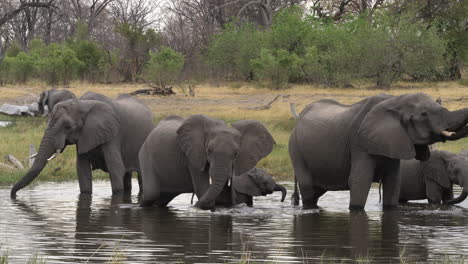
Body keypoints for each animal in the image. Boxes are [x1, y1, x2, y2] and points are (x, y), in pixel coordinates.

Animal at [11, 92, 154, 197]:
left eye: (68, 127)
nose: (13, 196)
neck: (82, 104)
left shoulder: (113, 134)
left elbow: (116, 169)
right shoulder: (83, 137)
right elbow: (82, 169)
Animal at [141, 114, 276, 209]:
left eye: (236, 154)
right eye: (209, 151)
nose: (193, 205)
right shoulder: (193, 156)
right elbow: (203, 189)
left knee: (164, 197)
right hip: (145, 155)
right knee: (151, 194)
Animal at [288, 93, 468, 210]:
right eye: (424, 114)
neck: (394, 101)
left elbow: (393, 182)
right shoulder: (359, 142)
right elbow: (359, 181)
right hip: (295, 149)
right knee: (308, 191)